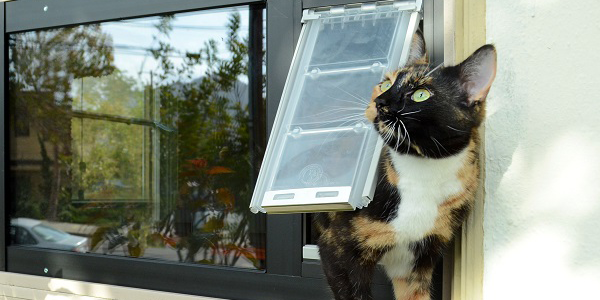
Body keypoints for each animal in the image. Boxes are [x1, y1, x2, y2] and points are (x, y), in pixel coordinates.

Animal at [314, 31, 496, 300]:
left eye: (420, 94)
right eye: (386, 84)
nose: (380, 102)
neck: (423, 170)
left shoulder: (415, 260)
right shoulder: (337, 250)